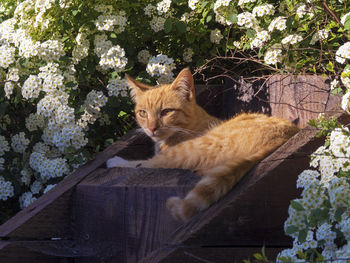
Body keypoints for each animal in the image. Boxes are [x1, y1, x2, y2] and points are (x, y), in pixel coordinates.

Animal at [106, 68, 298, 223]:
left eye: (166, 112)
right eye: (142, 113)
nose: (151, 128)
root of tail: (280, 138)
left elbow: (143, 163)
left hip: (185, 152)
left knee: (146, 164)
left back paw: (116, 162)